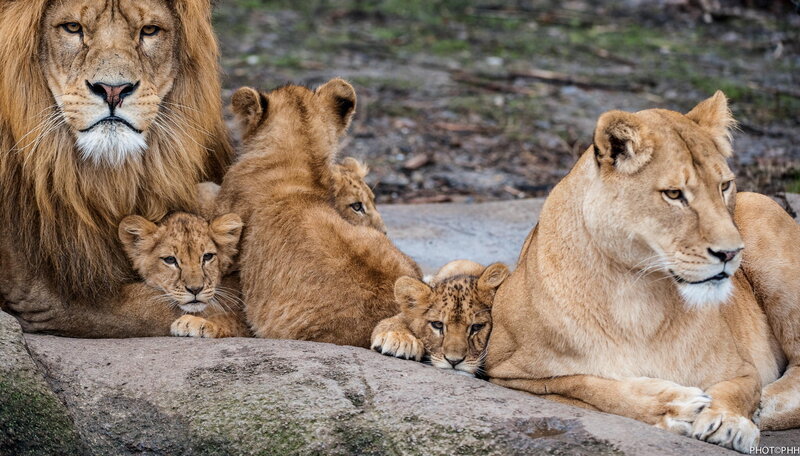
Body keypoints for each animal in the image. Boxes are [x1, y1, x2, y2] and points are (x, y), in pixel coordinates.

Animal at [0, 0, 232, 337]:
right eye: (72, 28)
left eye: (149, 30)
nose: (113, 90)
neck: (109, 178)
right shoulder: (41, 295)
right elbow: (180, 301)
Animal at [484, 91, 800, 453]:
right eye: (674, 194)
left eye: (724, 186)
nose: (731, 253)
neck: (635, 290)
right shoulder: (507, 371)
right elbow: (588, 385)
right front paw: (677, 406)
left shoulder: (742, 368)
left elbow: (742, 389)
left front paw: (729, 420)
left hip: (762, 210)